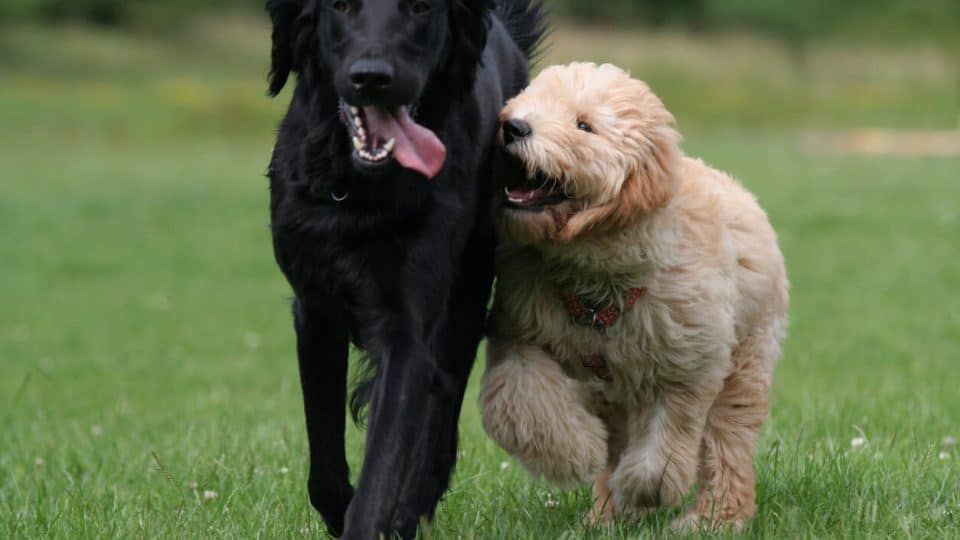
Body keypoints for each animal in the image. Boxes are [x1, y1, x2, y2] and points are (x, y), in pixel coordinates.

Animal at [266, 0, 544, 536]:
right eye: (339, 7)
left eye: (420, 8)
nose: (372, 78)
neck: (359, 187)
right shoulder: (315, 311)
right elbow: (324, 459)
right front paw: (339, 508)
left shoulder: (408, 329)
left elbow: (385, 465)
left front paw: (372, 518)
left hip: (468, 292)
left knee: (441, 411)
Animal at [480, 62, 788, 528]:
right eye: (525, 102)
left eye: (584, 125)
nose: (512, 126)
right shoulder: (522, 329)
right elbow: (520, 398)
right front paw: (575, 452)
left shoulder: (688, 362)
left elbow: (667, 438)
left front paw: (644, 488)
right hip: (610, 391)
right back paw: (604, 515)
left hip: (744, 361)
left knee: (727, 443)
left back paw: (713, 518)